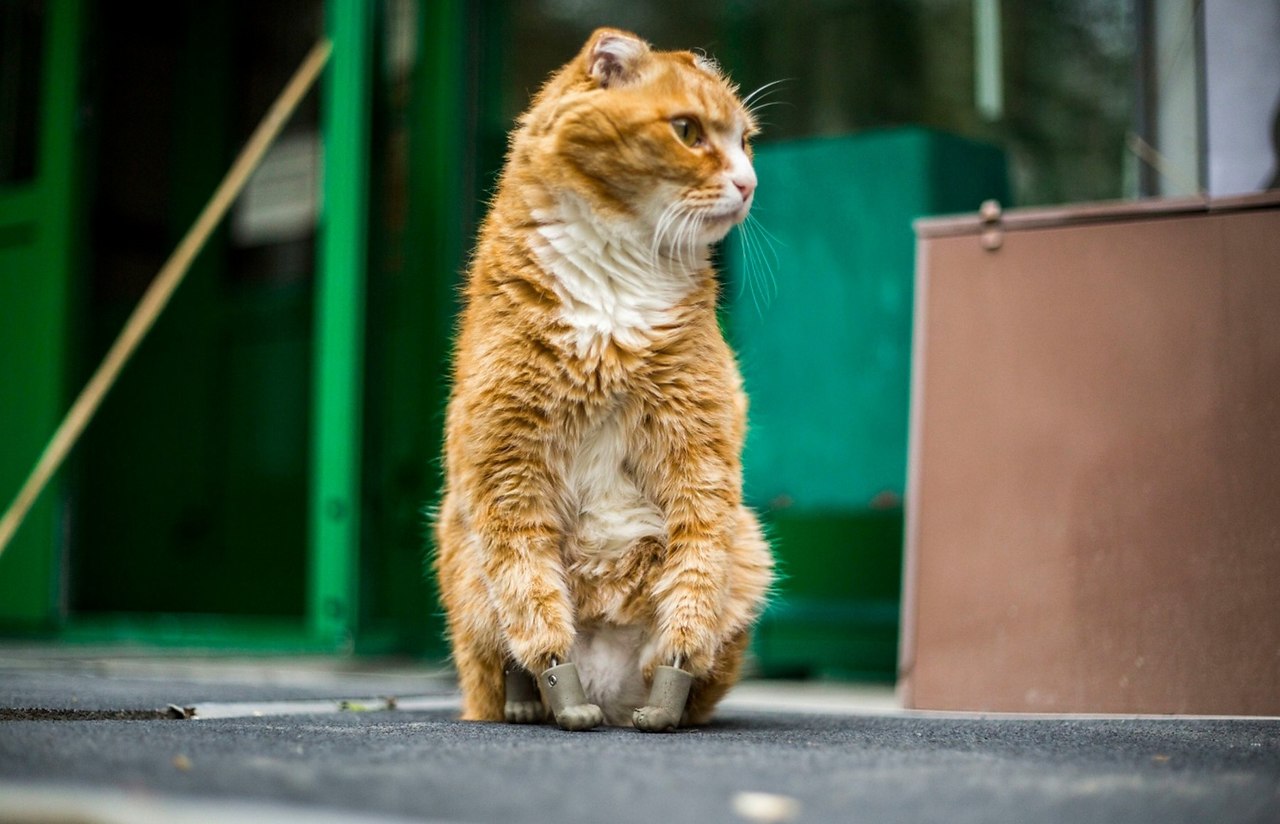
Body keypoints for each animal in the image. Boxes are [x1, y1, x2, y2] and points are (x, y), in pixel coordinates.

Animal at [432, 27, 768, 731]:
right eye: (688, 131)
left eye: (746, 141)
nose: (749, 182)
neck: (617, 280)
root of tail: (613, 694)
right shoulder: (506, 473)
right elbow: (532, 599)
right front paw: (556, 679)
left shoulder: (702, 460)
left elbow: (693, 587)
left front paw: (672, 675)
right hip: (464, 557)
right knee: (507, 656)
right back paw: (535, 704)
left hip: (751, 547)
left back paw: (652, 708)